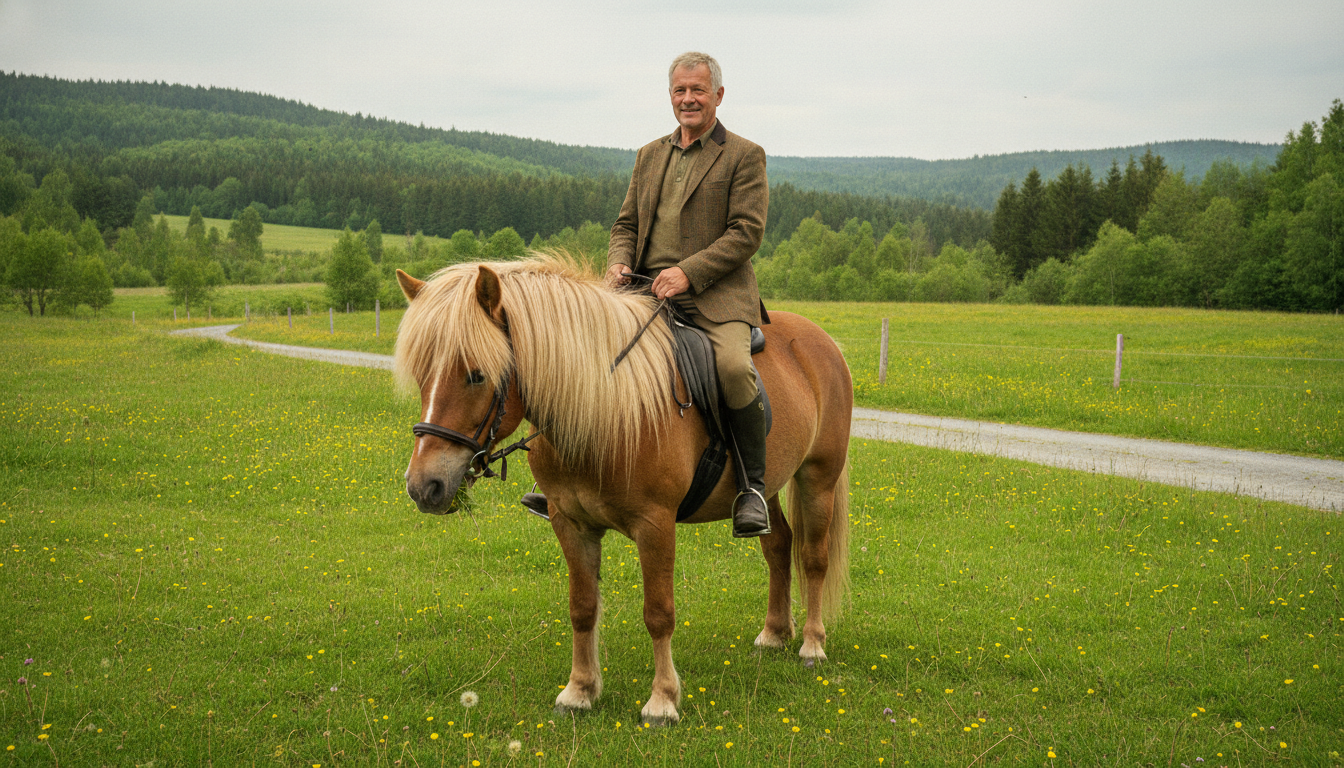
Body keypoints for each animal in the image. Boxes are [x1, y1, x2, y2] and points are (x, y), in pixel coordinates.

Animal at [393, 254, 852, 726]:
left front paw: (663, 700)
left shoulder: (656, 526)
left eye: (476, 375)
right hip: (767, 486)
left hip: (818, 478)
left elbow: (659, 613)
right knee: (777, 545)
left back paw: (812, 644)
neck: (603, 405)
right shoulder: (570, 523)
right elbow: (582, 608)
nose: (424, 486)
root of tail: (820, 340)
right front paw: (579, 691)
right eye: (423, 374)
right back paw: (775, 633)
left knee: (813, 557)